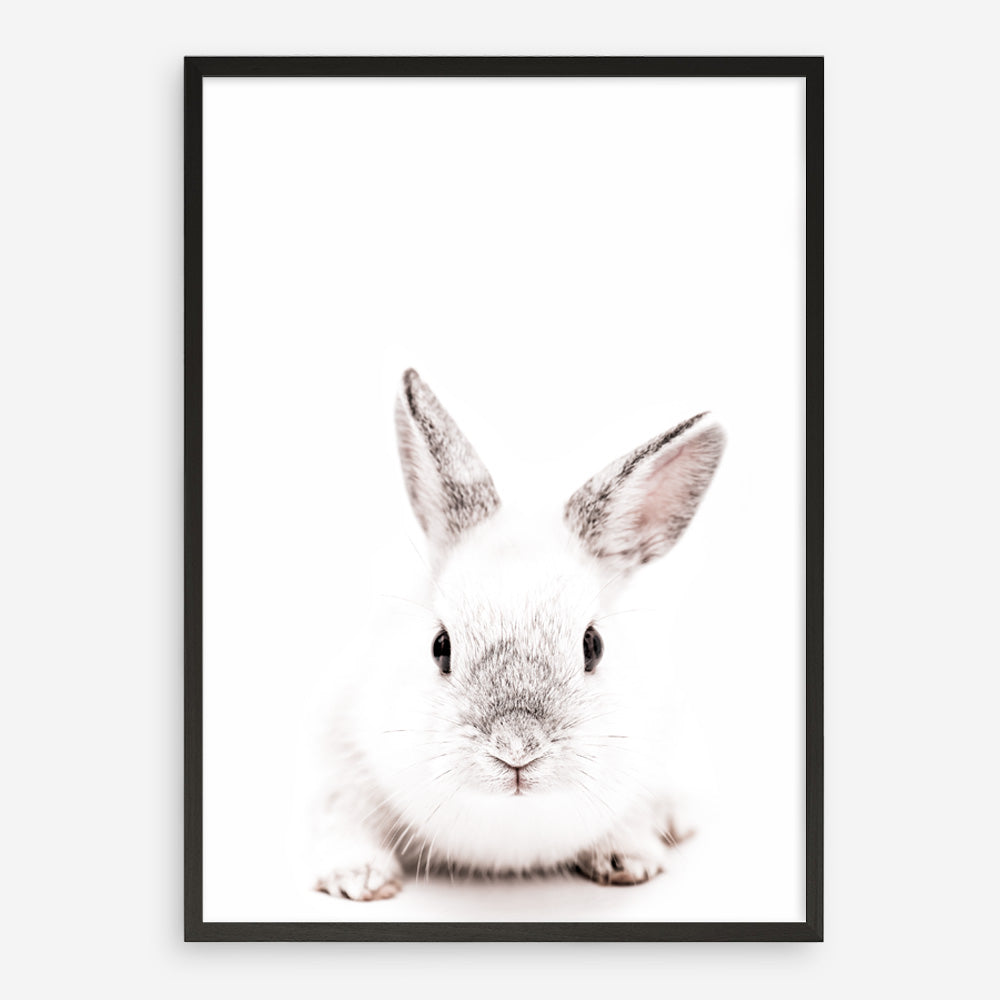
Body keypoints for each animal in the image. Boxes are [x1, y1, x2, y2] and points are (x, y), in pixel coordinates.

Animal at [309, 368, 725, 901]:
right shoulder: (339, 763)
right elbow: (341, 819)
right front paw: (359, 879)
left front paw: (628, 860)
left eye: (593, 646)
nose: (516, 748)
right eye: (440, 647)